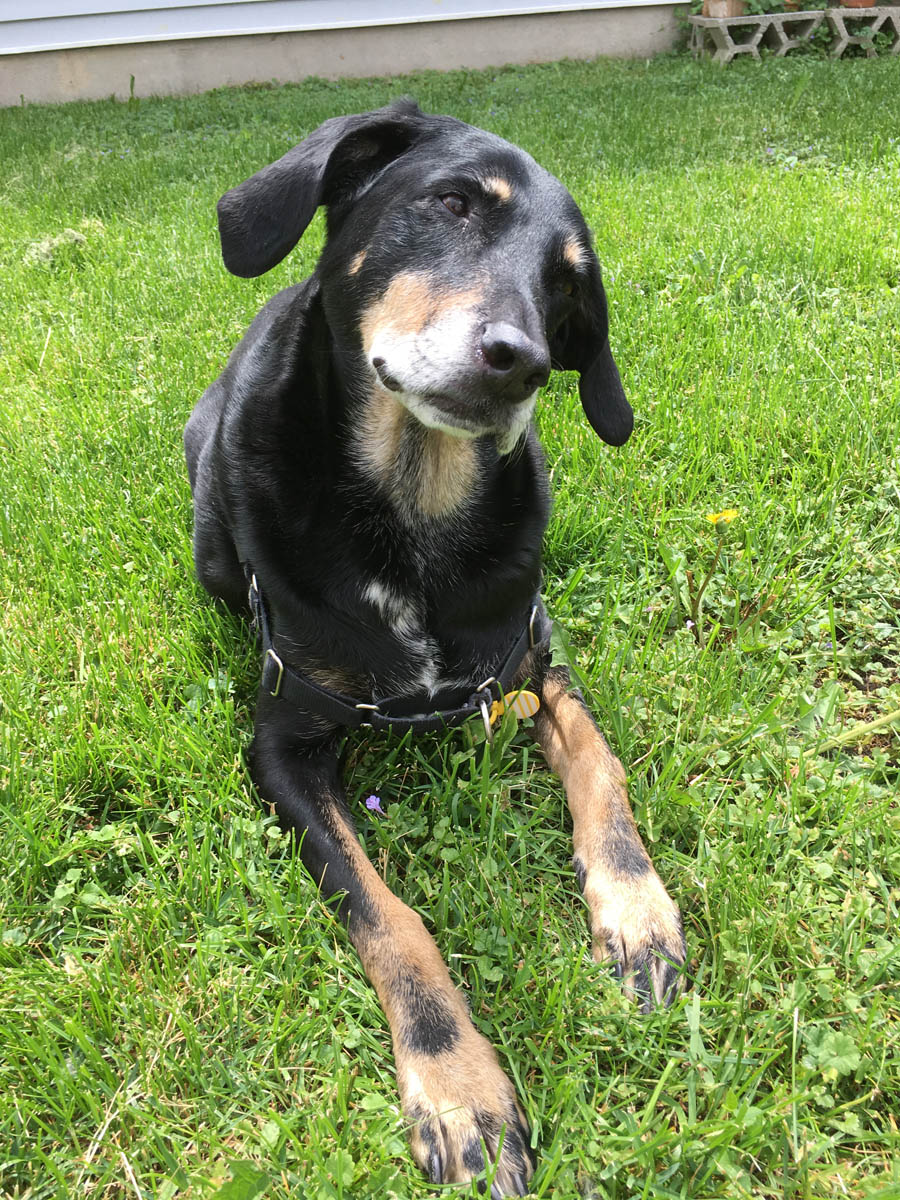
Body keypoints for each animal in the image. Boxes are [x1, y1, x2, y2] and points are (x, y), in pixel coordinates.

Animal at [187, 98, 686, 1195]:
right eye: (453, 202)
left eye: (568, 281)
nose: (521, 359)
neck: (412, 515)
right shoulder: (282, 745)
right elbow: (388, 914)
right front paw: (459, 1089)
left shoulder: (535, 663)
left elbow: (603, 766)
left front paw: (637, 914)